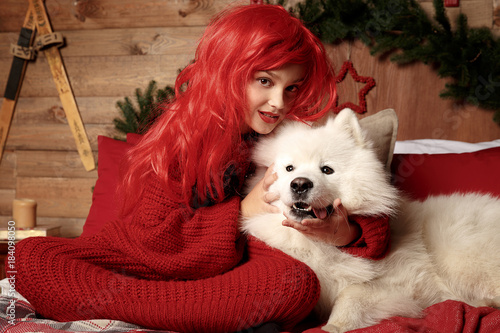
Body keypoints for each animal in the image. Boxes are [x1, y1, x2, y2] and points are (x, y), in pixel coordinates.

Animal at [239, 107, 500, 330]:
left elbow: (351, 294)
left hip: (456, 252)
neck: (318, 244)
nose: (300, 184)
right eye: (289, 169)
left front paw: (334, 326)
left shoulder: (404, 285)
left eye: (327, 170)